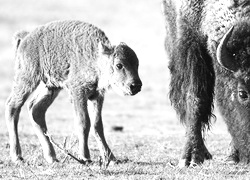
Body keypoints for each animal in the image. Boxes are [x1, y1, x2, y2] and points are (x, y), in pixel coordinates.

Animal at [5, 20, 142, 165]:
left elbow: (97, 125)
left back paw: (52, 157)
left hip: (50, 86)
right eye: (119, 65)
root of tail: (25, 37)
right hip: (27, 79)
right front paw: (85, 157)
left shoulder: (96, 96)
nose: (136, 86)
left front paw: (110, 158)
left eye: (137, 64)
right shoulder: (78, 93)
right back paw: (17, 156)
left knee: (36, 109)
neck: (95, 58)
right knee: (13, 106)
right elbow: (84, 123)